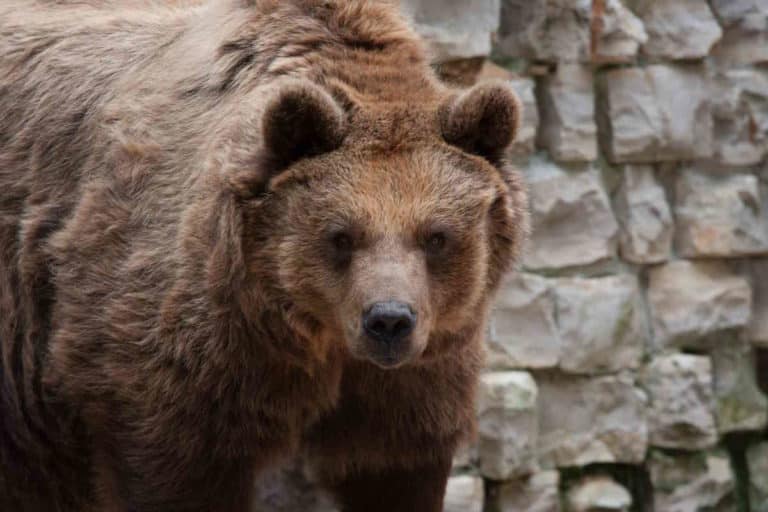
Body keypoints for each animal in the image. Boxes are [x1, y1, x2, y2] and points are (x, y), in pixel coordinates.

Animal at [0, 1, 528, 511]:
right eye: (341, 235)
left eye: (436, 236)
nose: (389, 320)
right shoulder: (179, 351)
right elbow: (178, 470)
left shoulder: (420, 369)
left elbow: (395, 468)